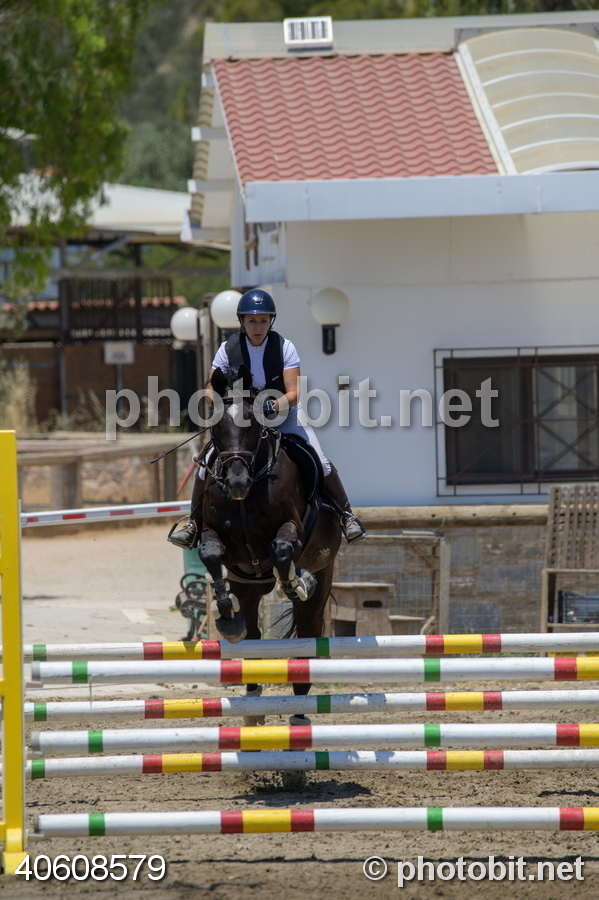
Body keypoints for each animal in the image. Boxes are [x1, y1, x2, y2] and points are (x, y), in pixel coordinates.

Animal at [197, 366, 341, 704]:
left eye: (254, 425)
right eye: (217, 427)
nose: (237, 482)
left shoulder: (293, 529)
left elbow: (282, 549)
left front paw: (296, 584)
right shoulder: (213, 533)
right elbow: (211, 554)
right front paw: (227, 617)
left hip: (321, 578)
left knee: (308, 637)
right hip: (250, 585)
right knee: (253, 634)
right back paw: (252, 688)